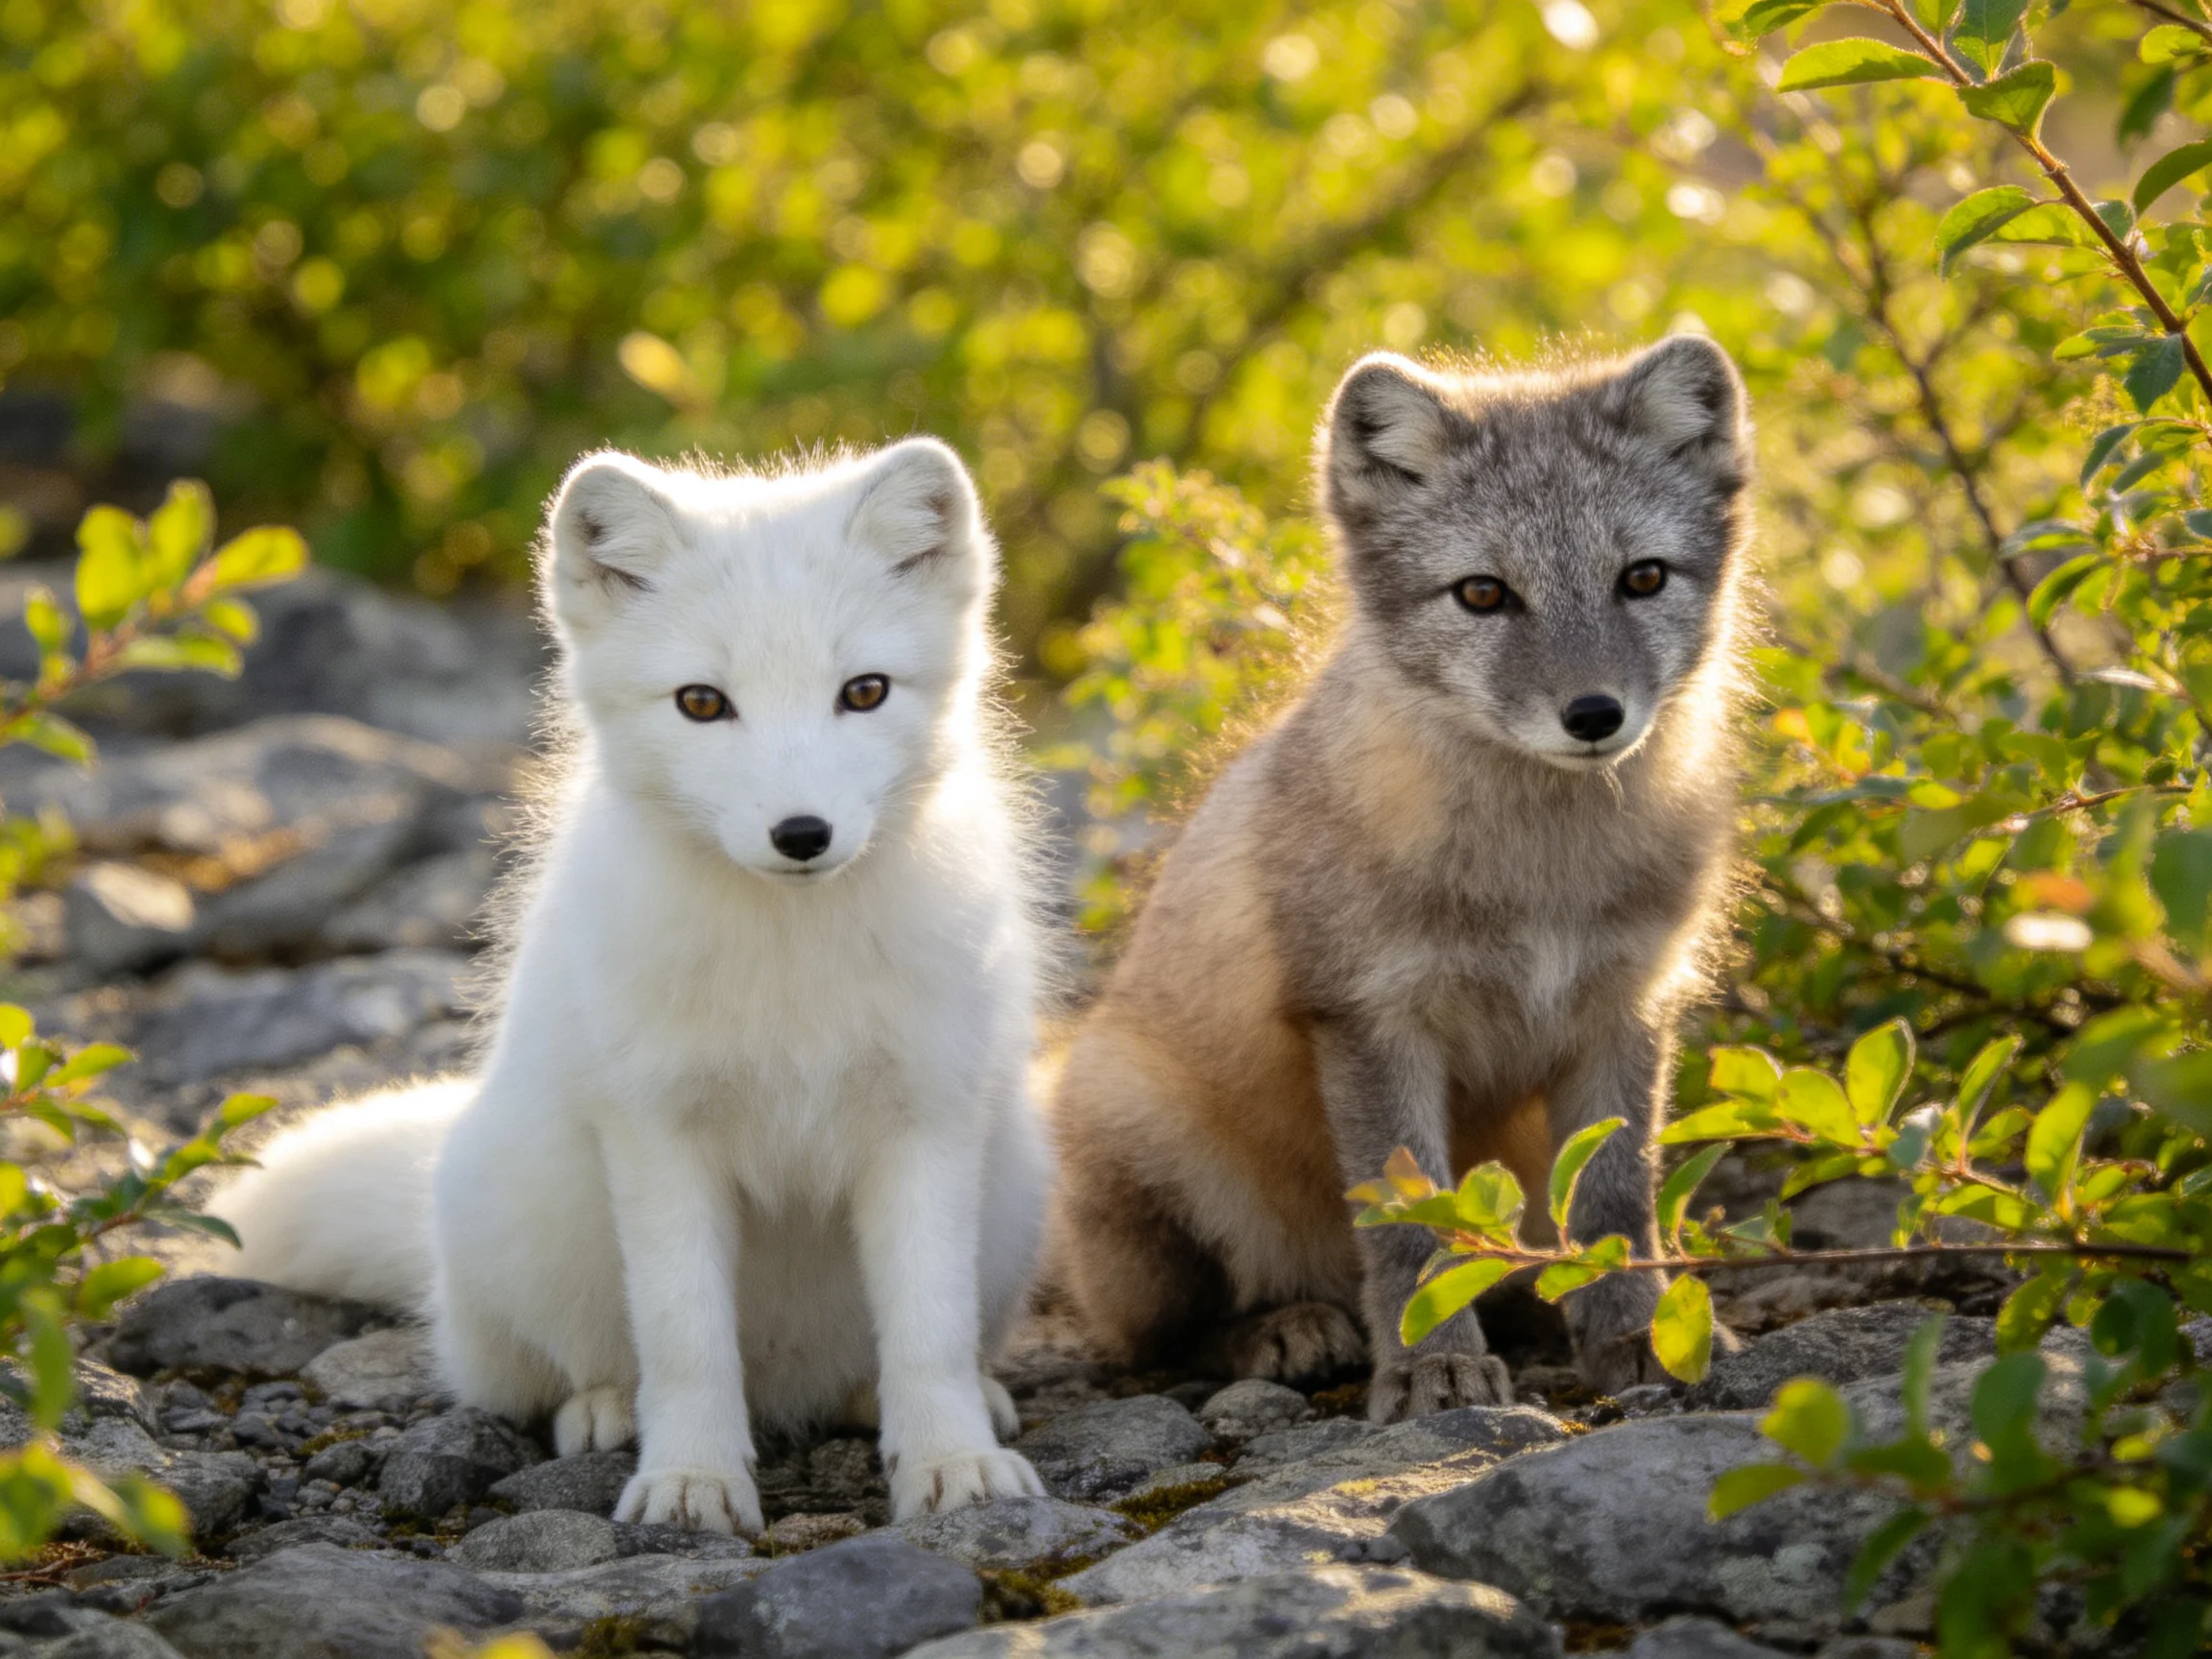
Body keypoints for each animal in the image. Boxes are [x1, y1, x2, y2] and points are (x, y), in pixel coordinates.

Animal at [217, 439, 1051, 1531]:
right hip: (532, 1226)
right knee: (578, 1366)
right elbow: (685, 1335)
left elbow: (929, 1330)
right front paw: (692, 1482)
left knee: (903, 1354)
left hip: (1016, 1196)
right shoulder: (656, 1131)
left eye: (865, 691)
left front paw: (953, 1465)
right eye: (703, 702)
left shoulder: (927, 1119)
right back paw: (609, 1413)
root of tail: (787, 1386)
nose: (802, 834)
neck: (790, 963)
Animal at [1050, 337, 1754, 1419]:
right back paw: (1288, 1331)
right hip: (1150, 1152)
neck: (1539, 881)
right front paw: (1434, 1369)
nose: (1594, 716)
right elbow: (1417, 1228)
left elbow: (1614, 1204)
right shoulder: (1370, 1019)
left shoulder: (1626, 1007)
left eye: (1642, 578)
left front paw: (1635, 1333)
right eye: (1482, 594)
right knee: (1157, 1344)